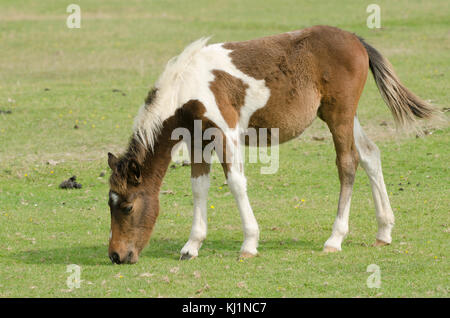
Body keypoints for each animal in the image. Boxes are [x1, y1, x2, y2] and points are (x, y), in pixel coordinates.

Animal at [105, 24, 436, 264]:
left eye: (128, 207)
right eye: (111, 204)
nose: (117, 256)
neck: (186, 87)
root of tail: (356, 39)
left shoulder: (226, 133)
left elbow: (236, 183)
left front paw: (249, 243)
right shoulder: (198, 139)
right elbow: (199, 187)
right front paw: (191, 246)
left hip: (339, 116)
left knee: (348, 163)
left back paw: (335, 239)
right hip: (341, 115)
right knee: (370, 155)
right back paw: (384, 231)